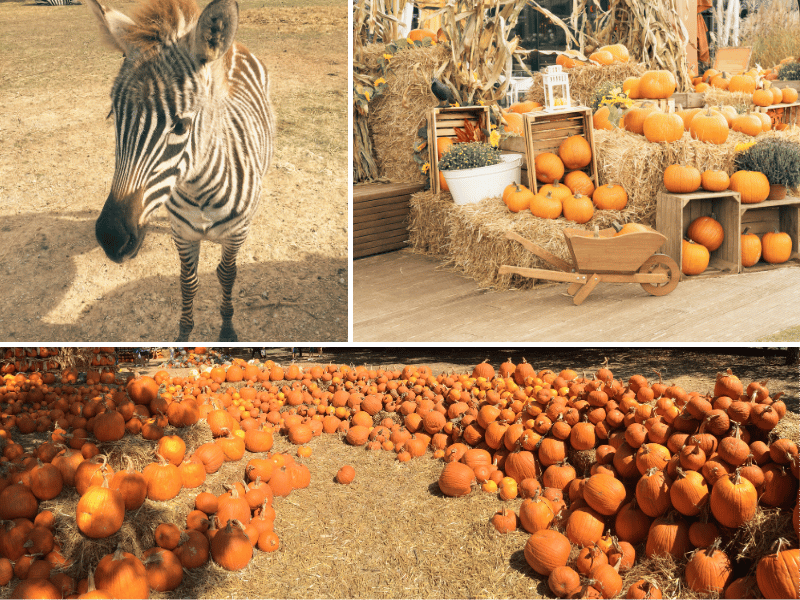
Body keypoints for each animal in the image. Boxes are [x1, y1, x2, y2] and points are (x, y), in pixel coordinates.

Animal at [88, 0, 276, 342]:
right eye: (113, 117)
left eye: (180, 127)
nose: (112, 237)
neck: (199, 191)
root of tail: (234, 47)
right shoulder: (182, 233)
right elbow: (187, 282)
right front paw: (184, 333)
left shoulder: (236, 234)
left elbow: (226, 274)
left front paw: (227, 328)